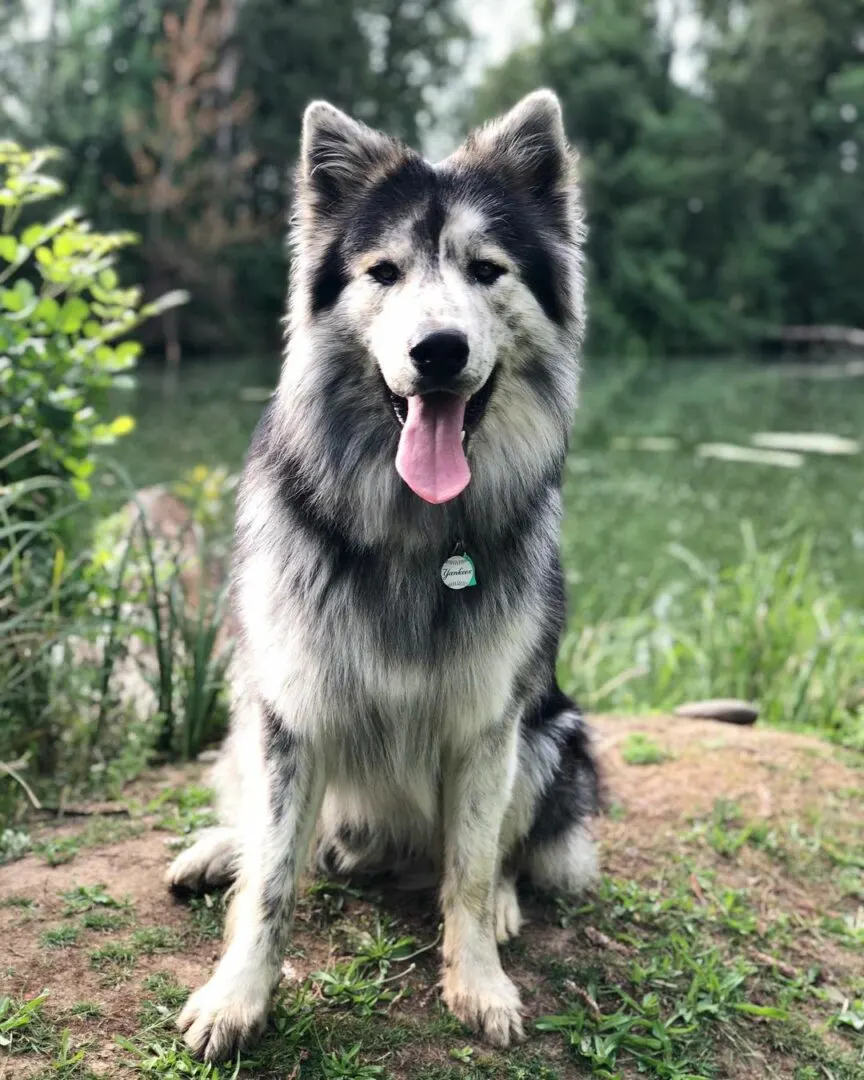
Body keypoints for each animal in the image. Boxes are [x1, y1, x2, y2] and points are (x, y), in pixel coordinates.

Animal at [168, 86, 600, 1062]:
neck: (415, 532)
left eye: (486, 270)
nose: (438, 350)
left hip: (554, 736)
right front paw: (237, 996)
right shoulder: (288, 711)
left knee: (498, 852)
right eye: (385, 272)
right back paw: (221, 848)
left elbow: (471, 867)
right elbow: (273, 881)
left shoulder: (489, 723)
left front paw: (476, 975)